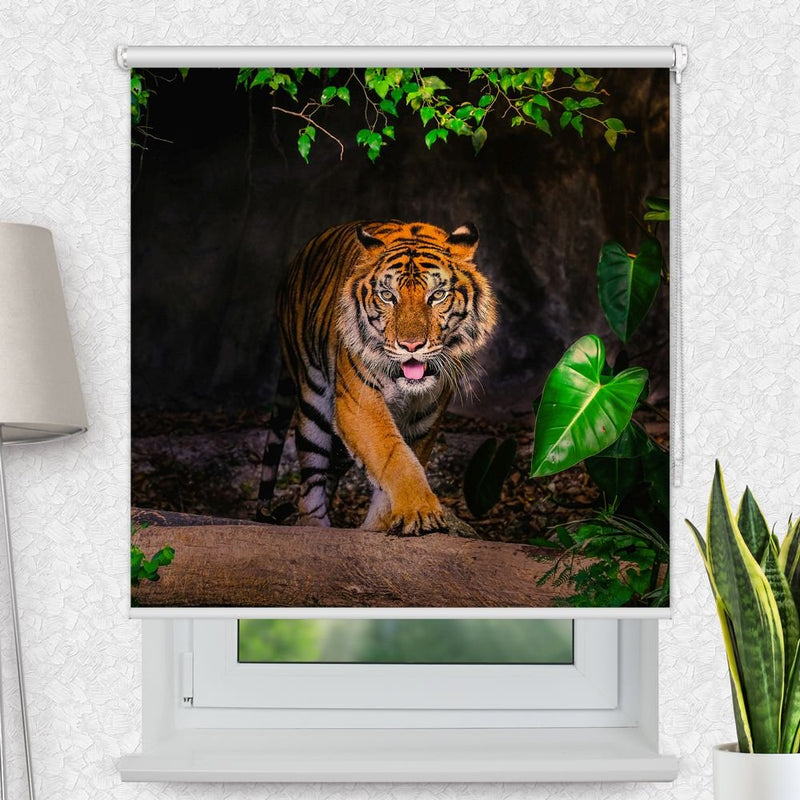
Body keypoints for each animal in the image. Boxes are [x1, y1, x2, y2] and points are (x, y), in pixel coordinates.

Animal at [257, 220, 497, 536]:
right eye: (387, 296)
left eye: (437, 296)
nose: (410, 345)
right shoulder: (359, 405)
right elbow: (394, 456)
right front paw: (420, 511)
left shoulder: (426, 419)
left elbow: (405, 461)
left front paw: (382, 525)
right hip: (313, 404)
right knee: (311, 482)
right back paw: (314, 526)